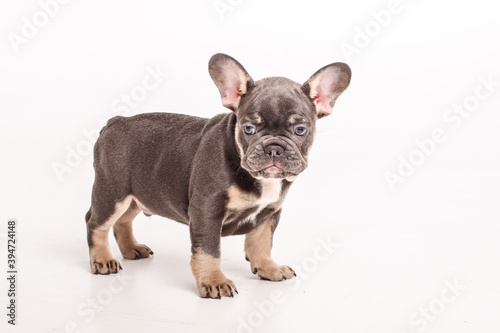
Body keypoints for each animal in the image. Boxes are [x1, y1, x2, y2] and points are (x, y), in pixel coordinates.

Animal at [85, 53, 352, 298]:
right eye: (249, 129)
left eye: (300, 130)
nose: (274, 148)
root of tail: (115, 122)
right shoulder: (207, 210)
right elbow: (209, 251)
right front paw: (214, 281)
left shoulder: (270, 213)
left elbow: (262, 243)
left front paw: (268, 267)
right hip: (112, 193)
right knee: (96, 223)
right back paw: (102, 260)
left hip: (137, 195)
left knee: (123, 221)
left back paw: (131, 249)